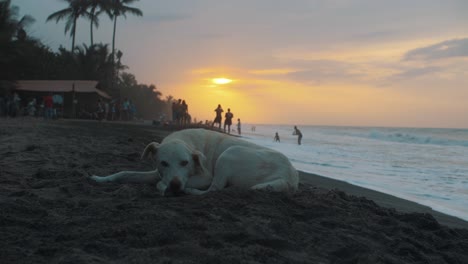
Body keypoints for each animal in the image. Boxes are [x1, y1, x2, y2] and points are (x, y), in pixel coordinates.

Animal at [89, 128, 298, 196]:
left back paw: (189, 191)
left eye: (185, 162)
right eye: (163, 163)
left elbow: (161, 183)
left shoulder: (205, 176)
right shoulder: (157, 172)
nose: (175, 186)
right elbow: (125, 173)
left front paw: (165, 188)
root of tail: (289, 175)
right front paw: (101, 178)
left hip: (229, 153)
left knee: (213, 190)